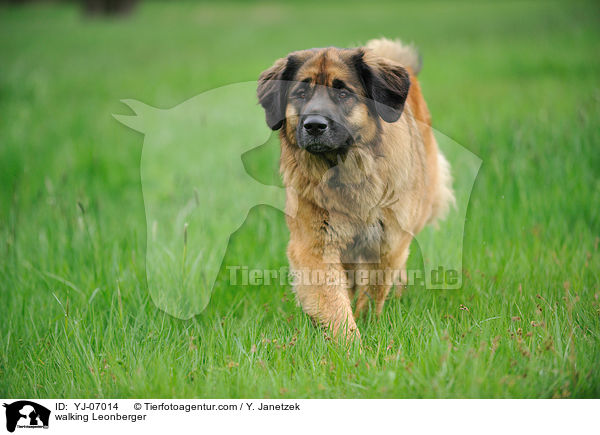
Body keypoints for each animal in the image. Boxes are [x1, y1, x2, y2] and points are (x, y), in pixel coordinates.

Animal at [255, 38, 452, 340]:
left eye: (343, 93)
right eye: (301, 93)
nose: (314, 125)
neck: (345, 173)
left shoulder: (387, 242)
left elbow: (374, 291)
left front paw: (367, 324)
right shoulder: (316, 245)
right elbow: (333, 301)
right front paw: (348, 341)